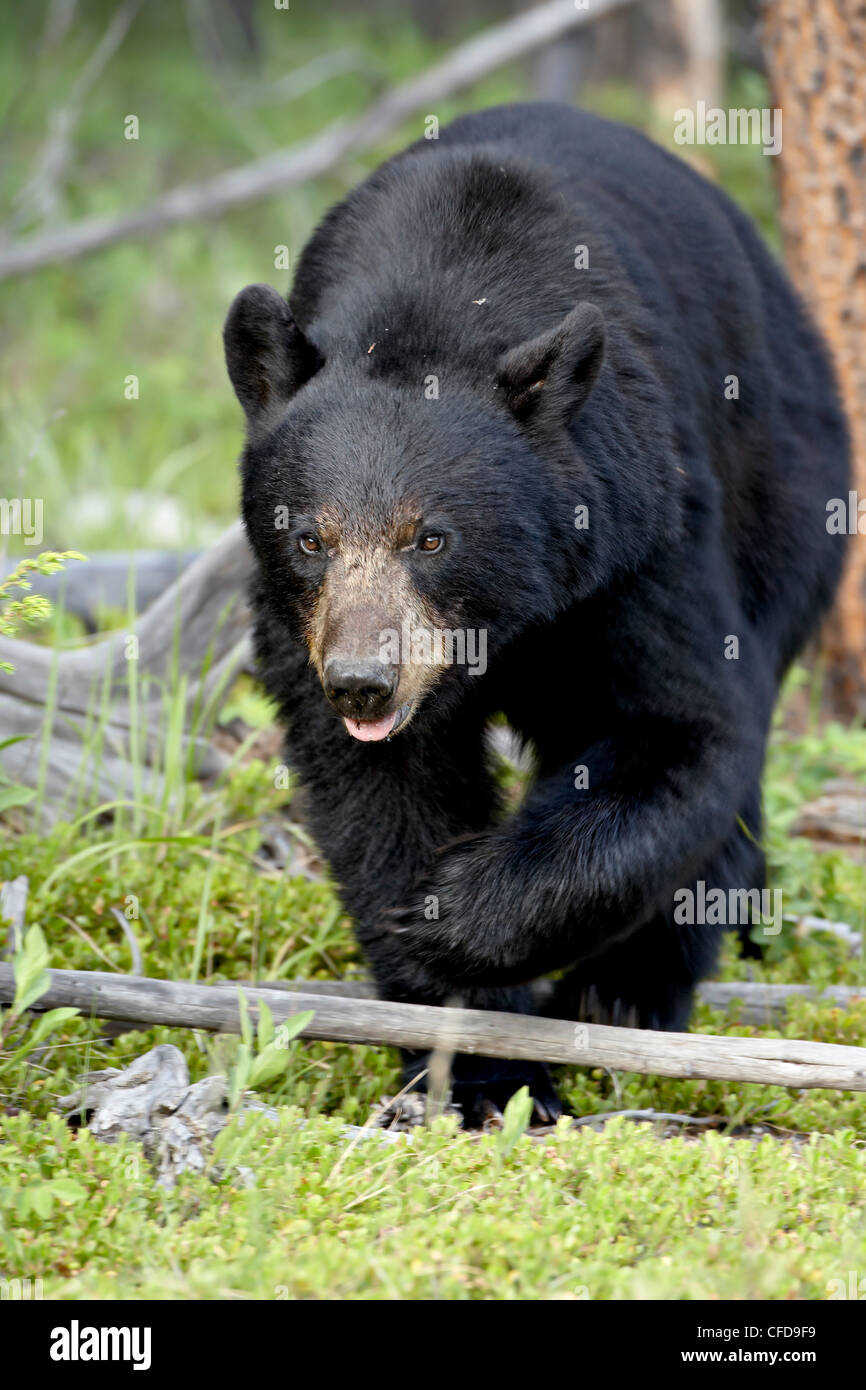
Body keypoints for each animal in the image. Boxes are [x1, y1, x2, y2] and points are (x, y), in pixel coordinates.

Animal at [225, 102, 856, 1123]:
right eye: (311, 537)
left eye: (430, 537)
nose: (363, 684)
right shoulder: (302, 626)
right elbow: (380, 795)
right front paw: (477, 1062)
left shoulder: (635, 534)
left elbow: (683, 727)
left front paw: (459, 914)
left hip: (790, 486)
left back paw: (632, 992)